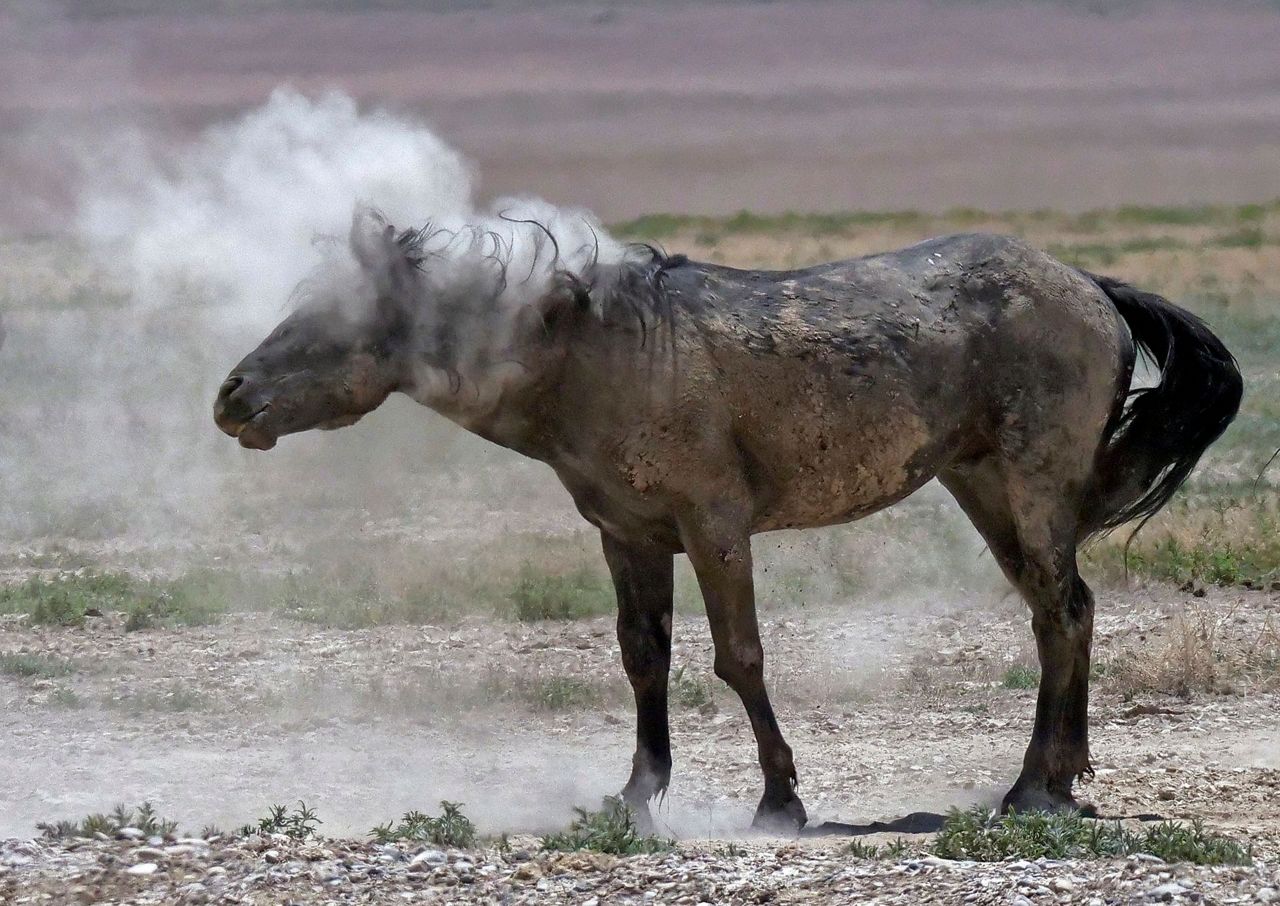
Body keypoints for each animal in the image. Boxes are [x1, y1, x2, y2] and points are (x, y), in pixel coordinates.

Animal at [214, 209, 1241, 832]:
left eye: (333, 321)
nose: (231, 398)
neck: (600, 353)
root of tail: (1092, 286)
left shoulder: (715, 525)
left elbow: (737, 658)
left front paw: (779, 799)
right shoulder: (627, 535)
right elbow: (644, 659)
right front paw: (637, 794)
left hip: (1029, 490)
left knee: (1063, 613)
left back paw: (1030, 787)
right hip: (985, 490)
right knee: (1065, 612)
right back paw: (1063, 776)